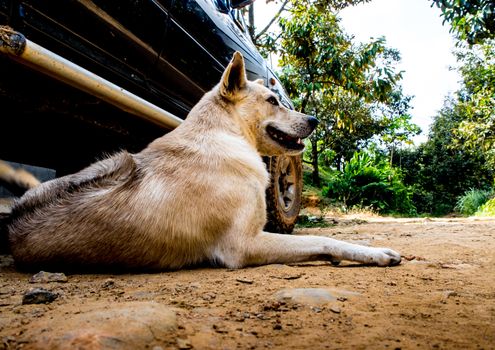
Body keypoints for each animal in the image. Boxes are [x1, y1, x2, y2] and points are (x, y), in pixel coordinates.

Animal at [1, 51, 402, 270]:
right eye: (273, 101)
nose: (316, 120)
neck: (222, 134)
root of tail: (14, 220)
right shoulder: (244, 245)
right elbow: (323, 239)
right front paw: (374, 253)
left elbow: (317, 241)